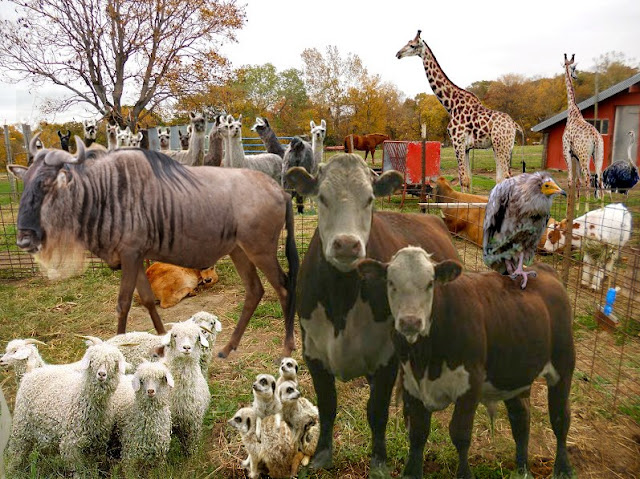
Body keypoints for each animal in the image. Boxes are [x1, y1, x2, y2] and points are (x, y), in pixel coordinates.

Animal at [8, 135, 298, 359]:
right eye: (25, 184)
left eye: (46, 185)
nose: (24, 239)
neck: (105, 194)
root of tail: (280, 190)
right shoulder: (135, 257)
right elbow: (148, 300)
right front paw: (162, 343)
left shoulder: (129, 255)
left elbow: (123, 303)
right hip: (239, 251)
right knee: (255, 291)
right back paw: (228, 347)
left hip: (260, 251)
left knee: (283, 287)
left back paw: (286, 349)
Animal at [285, 153, 460, 475]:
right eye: (322, 197)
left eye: (369, 199)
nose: (346, 243)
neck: (341, 298)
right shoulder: (313, 353)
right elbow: (327, 405)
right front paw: (322, 455)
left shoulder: (386, 358)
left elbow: (376, 411)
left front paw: (379, 461)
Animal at [357, 246, 575, 479]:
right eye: (391, 282)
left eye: (430, 283)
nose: (410, 322)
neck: (426, 359)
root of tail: (543, 269)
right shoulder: (410, 381)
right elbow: (417, 431)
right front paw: (411, 472)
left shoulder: (471, 383)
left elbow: (460, 434)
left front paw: (464, 473)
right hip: (514, 374)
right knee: (521, 419)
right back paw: (522, 469)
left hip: (563, 366)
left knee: (560, 419)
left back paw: (563, 468)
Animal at [396, 30, 523, 192]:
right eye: (407, 42)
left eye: (412, 45)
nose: (398, 53)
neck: (451, 105)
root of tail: (514, 125)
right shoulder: (467, 147)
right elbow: (469, 179)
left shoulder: (457, 142)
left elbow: (464, 179)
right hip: (502, 147)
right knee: (503, 178)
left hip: (501, 146)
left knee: (504, 178)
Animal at [561, 53, 604, 204]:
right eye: (574, 68)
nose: (576, 76)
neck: (572, 113)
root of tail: (596, 137)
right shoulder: (576, 156)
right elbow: (577, 181)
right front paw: (576, 204)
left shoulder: (567, 151)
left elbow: (570, 180)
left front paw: (569, 203)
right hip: (597, 154)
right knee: (599, 177)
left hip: (585, 155)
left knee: (588, 178)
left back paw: (588, 204)